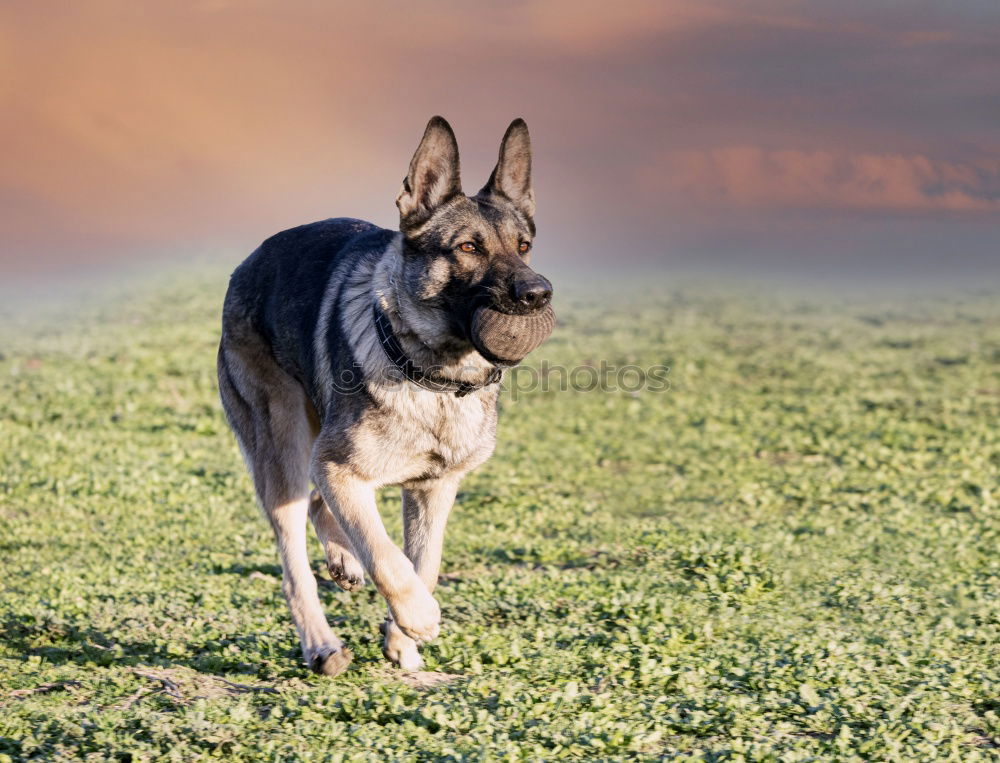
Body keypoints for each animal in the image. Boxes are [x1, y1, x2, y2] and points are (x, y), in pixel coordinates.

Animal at [217, 115, 556, 676]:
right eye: (468, 248)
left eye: (524, 245)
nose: (538, 294)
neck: (432, 378)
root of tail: (247, 263)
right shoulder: (339, 467)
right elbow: (388, 556)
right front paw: (418, 615)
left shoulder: (433, 489)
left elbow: (426, 561)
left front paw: (401, 638)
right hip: (283, 447)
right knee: (294, 563)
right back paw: (321, 643)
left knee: (317, 504)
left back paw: (342, 561)